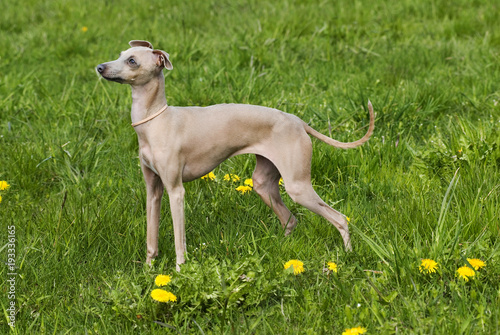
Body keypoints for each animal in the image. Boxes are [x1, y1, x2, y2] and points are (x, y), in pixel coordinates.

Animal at [95, 40, 374, 272]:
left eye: (132, 61)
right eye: (120, 54)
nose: (99, 67)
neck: (156, 121)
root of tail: (298, 121)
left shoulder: (175, 190)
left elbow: (179, 240)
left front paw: (179, 272)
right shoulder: (153, 189)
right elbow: (151, 238)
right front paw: (148, 270)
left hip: (298, 187)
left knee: (340, 218)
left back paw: (348, 256)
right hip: (264, 183)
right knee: (291, 220)